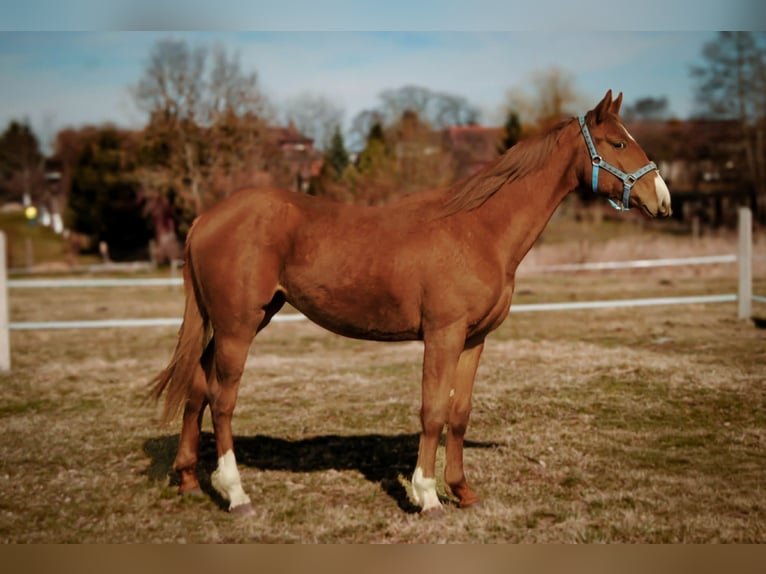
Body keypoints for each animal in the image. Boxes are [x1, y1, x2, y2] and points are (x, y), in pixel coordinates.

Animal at [150, 90, 672, 515]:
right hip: (238, 326)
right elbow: (433, 410)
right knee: (222, 398)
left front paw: (463, 492)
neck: (478, 229)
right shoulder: (443, 335)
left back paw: (190, 480)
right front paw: (426, 496)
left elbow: (459, 414)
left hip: (237, 323)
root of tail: (206, 219)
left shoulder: (474, 339)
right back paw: (236, 493)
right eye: (617, 143)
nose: (662, 200)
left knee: (197, 385)